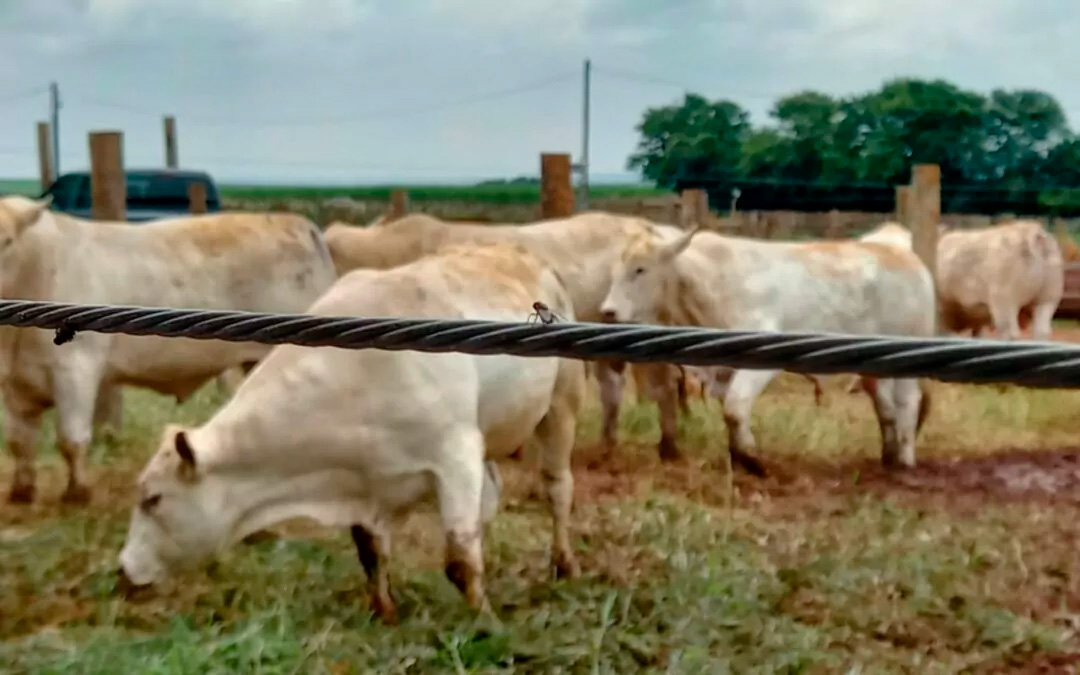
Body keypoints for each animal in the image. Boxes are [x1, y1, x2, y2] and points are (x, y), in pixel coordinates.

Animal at [0, 192, 336, 503]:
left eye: (6, 240)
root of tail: (298, 224)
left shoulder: (75, 369)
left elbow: (71, 439)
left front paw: (77, 493)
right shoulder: (16, 383)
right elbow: (20, 441)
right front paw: (21, 491)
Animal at [119, 241, 587, 622]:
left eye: (153, 499)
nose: (123, 571)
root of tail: (527, 256)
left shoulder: (455, 454)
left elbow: (459, 558)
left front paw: (484, 619)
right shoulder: (366, 480)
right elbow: (370, 548)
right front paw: (383, 611)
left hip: (561, 403)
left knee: (557, 486)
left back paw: (564, 562)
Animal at [600, 223, 937, 477]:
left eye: (640, 269)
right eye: (615, 269)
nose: (608, 311)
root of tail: (901, 253)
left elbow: (735, 407)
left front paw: (751, 460)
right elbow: (732, 411)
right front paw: (738, 457)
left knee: (908, 402)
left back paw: (905, 462)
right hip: (875, 365)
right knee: (885, 406)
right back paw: (888, 456)